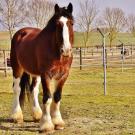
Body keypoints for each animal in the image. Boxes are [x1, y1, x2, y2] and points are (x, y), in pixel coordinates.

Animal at [10, 2, 74, 132]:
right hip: (17, 68)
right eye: (57, 24)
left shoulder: (64, 75)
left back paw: (37, 115)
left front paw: (58, 122)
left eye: (71, 23)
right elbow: (47, 97)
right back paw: (17, 116)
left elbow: (57, 97)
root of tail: (21, 33)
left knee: (33, 90)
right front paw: (46, 125)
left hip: (35, 74)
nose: (66, 50)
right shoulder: (46, 74)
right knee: (17, 89)